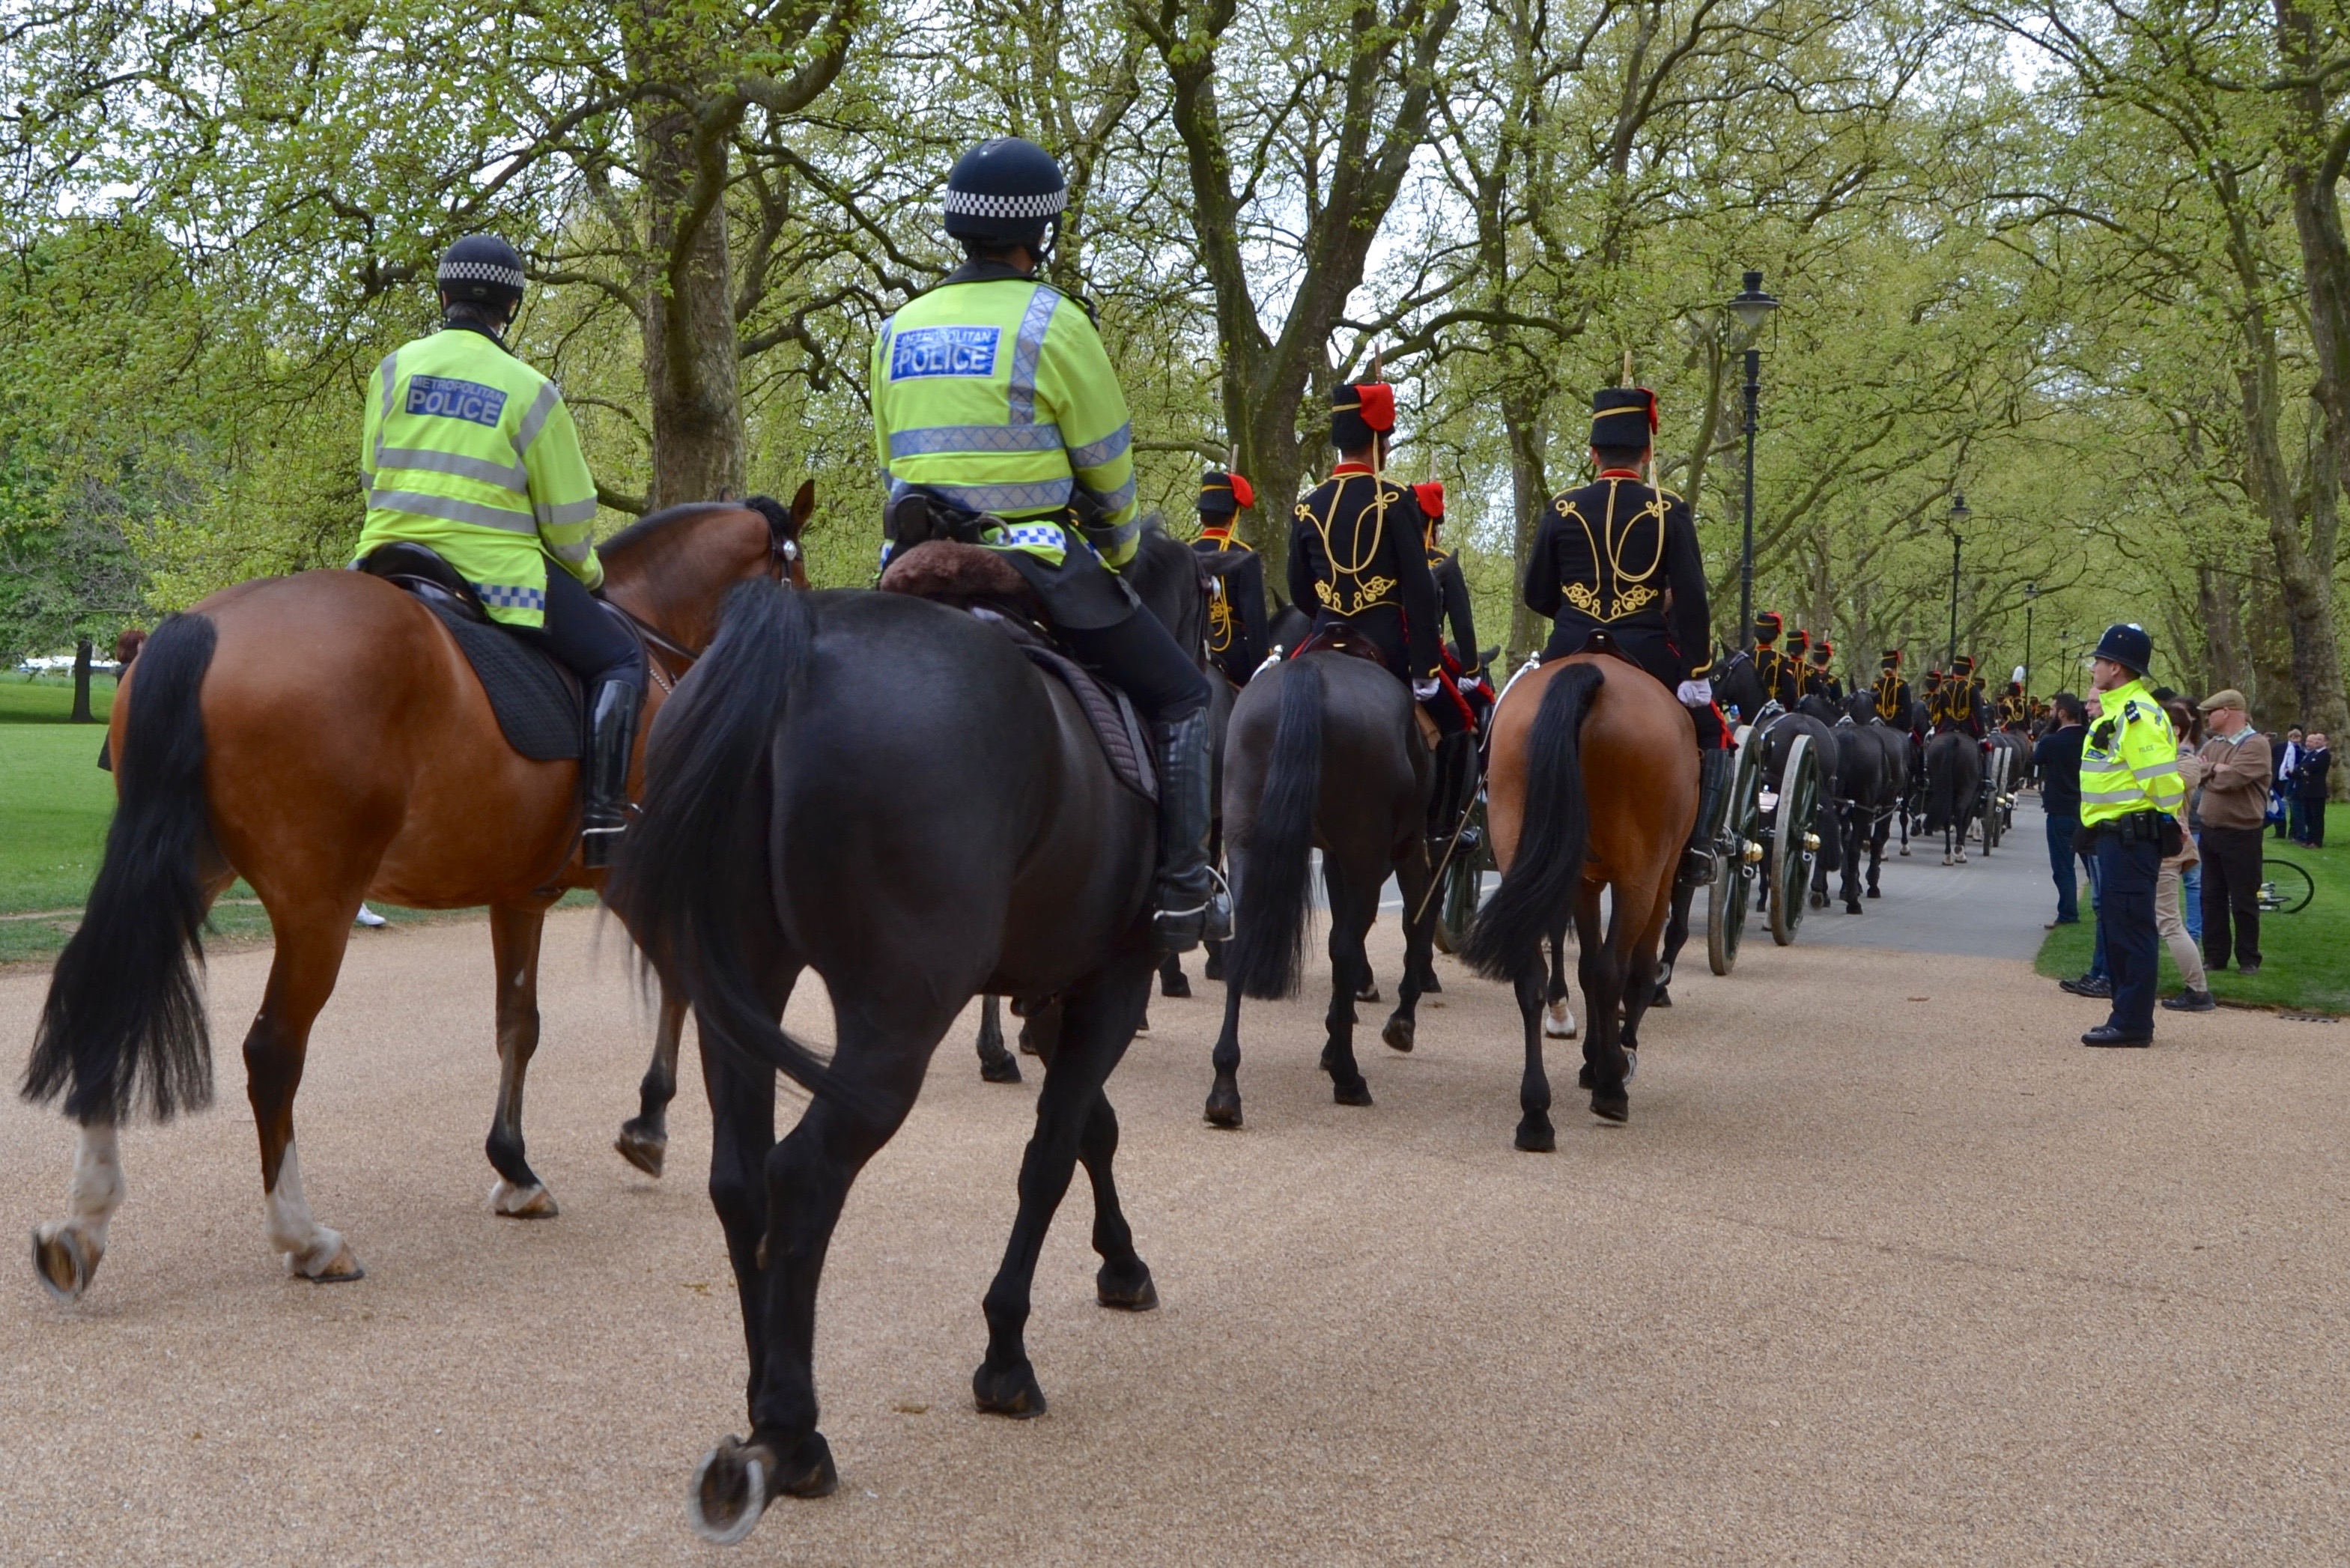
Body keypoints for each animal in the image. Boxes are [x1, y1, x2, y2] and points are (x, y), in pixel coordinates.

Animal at [19, 492, 810, 1302]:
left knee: (114, 1005)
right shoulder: (631, 874)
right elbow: (680, 981)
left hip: (187, 873)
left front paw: (516, 1168)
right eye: (798, 575)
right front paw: (648, 1125)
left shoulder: (520, 896)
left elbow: (518, 1025)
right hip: (319, 907)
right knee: (273, 1053)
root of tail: (201, 628)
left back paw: (81, 1228)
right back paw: (305, 1237)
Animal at [608, 572, 1173, 1543]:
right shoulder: (1114, 977)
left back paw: (763, 1405)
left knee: (742, 1181)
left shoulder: (1060, 987)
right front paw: (1006, 1352)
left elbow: (1088, 1134)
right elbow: (1052, 1155)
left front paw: (1120, 1261)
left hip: (743, 994)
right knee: (804, 1174)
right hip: (894, 1020)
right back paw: (793, 1434)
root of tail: (802, 637)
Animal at [1205, 644, 1437, 1127]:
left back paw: (1224, 1089)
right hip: (1368, 854)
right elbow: (1413, 922)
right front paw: (1399, 1022)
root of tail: (1310, 673)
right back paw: (1349, 1078)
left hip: (1247, 842)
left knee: (1245, 940)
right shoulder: (1406, 845)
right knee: (1351, 945)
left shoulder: (1334, 856)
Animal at [1461, 649, 1695, 1138]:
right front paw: (1615, 1058)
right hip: (1640, 877)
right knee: (1614, 971)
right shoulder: (1659, 877)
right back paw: (1611, 1089)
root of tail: (1591, 673)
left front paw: (1593, 1059)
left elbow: (1585, 967)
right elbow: (1630, 972)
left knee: (1531, 976)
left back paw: (1535, 1114)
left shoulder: (1583, 882)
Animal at [1921, 726, 1984, 865]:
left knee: (1947, 817)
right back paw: (1959, 851)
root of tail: (1954, 739)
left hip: (1940, 786)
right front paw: (1962, 848)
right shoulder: (1975, 795)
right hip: (1967, 789)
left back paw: (1948, 855)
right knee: (1960, 815)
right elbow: (1966, 820)